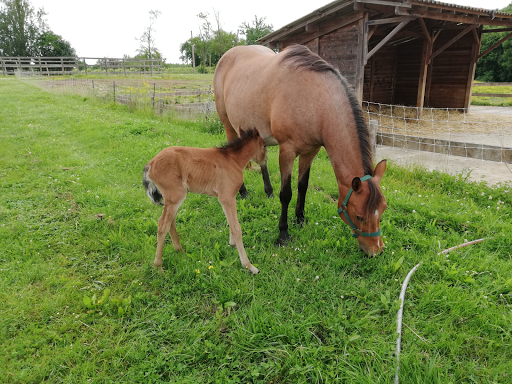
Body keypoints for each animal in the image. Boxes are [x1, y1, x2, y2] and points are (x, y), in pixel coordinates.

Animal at [142, 130, 266, 274]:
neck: (232, 160)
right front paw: (249, 266)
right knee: (163, 224)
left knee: (170, 221)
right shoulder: (226, 197)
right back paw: (158, 266)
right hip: (176, 196)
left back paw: (179, 250)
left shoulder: (228, 198)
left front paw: (232, 244)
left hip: (173, 199)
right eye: (264, 145)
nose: (264, 162)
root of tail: (151, 163)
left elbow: (230, 223)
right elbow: (236, 228)